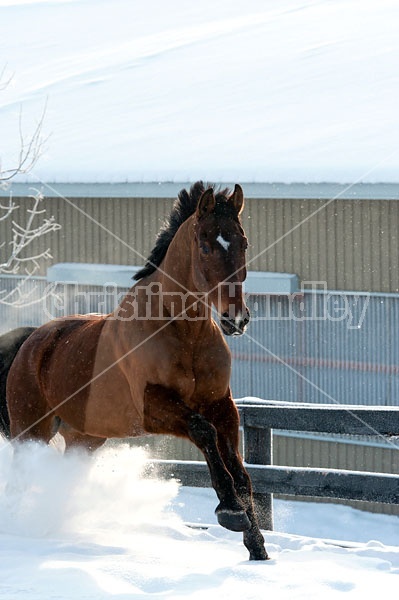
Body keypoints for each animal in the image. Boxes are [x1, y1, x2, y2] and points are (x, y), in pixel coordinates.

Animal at [0, 183, 268, 564]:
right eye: (205, 245)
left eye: (243, 242)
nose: (237, 319)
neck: (182, 332)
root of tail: (30, 341)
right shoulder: (155, 407)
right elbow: (204, 432)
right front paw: (230, 512)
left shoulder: (222, 405)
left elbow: (238, 467)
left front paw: (257, 548)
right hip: (30, 431)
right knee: (20, 478)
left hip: (84, 438)